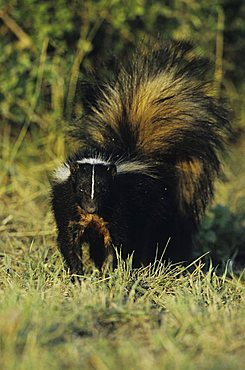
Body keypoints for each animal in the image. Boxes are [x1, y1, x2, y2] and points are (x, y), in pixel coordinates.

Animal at [50, 42, 231, 274]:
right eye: (81, 188)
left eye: (103, 189)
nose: (91, 207)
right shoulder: (69, 207)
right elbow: (69, 241)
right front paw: (78, 274)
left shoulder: (119, 209)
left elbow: (117, 243)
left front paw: (109, 272)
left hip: (150, 205)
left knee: (145, 236)